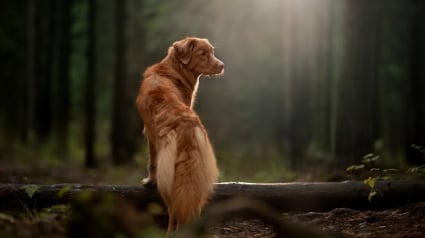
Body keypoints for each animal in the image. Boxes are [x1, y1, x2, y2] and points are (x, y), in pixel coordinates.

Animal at [136, 37, 224, 232]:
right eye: (203, 53)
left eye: (212, 52)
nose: (222, 65)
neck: (172, 69)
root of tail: (187, 126)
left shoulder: (150, 135)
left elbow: (151, 163)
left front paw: (149, 182)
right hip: (198, 177)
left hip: (168, 179)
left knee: (174, 210)